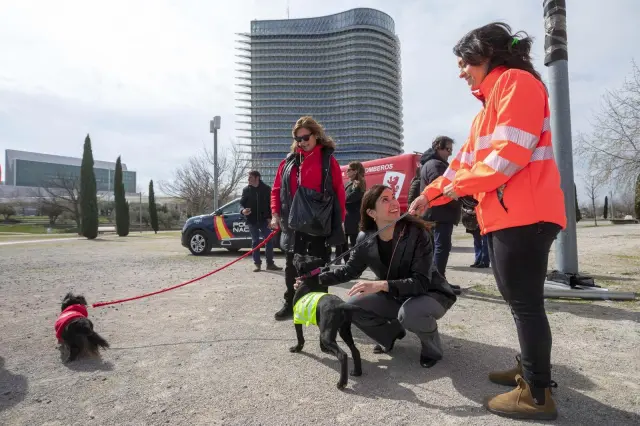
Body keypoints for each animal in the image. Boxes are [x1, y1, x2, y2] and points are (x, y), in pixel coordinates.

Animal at [288, 253, 360, 390]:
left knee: (343, 355)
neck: (311, 278)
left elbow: (300, 337)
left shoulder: (297, 318)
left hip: (330, 334)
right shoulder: (321, 324)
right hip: (343, 331)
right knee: (355, 350)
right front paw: (324, 349)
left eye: (299, 258)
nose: (294, 254)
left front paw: (297, 348)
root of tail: (340, 305)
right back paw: (357, 372)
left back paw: (342, 383)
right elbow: (319, 338)